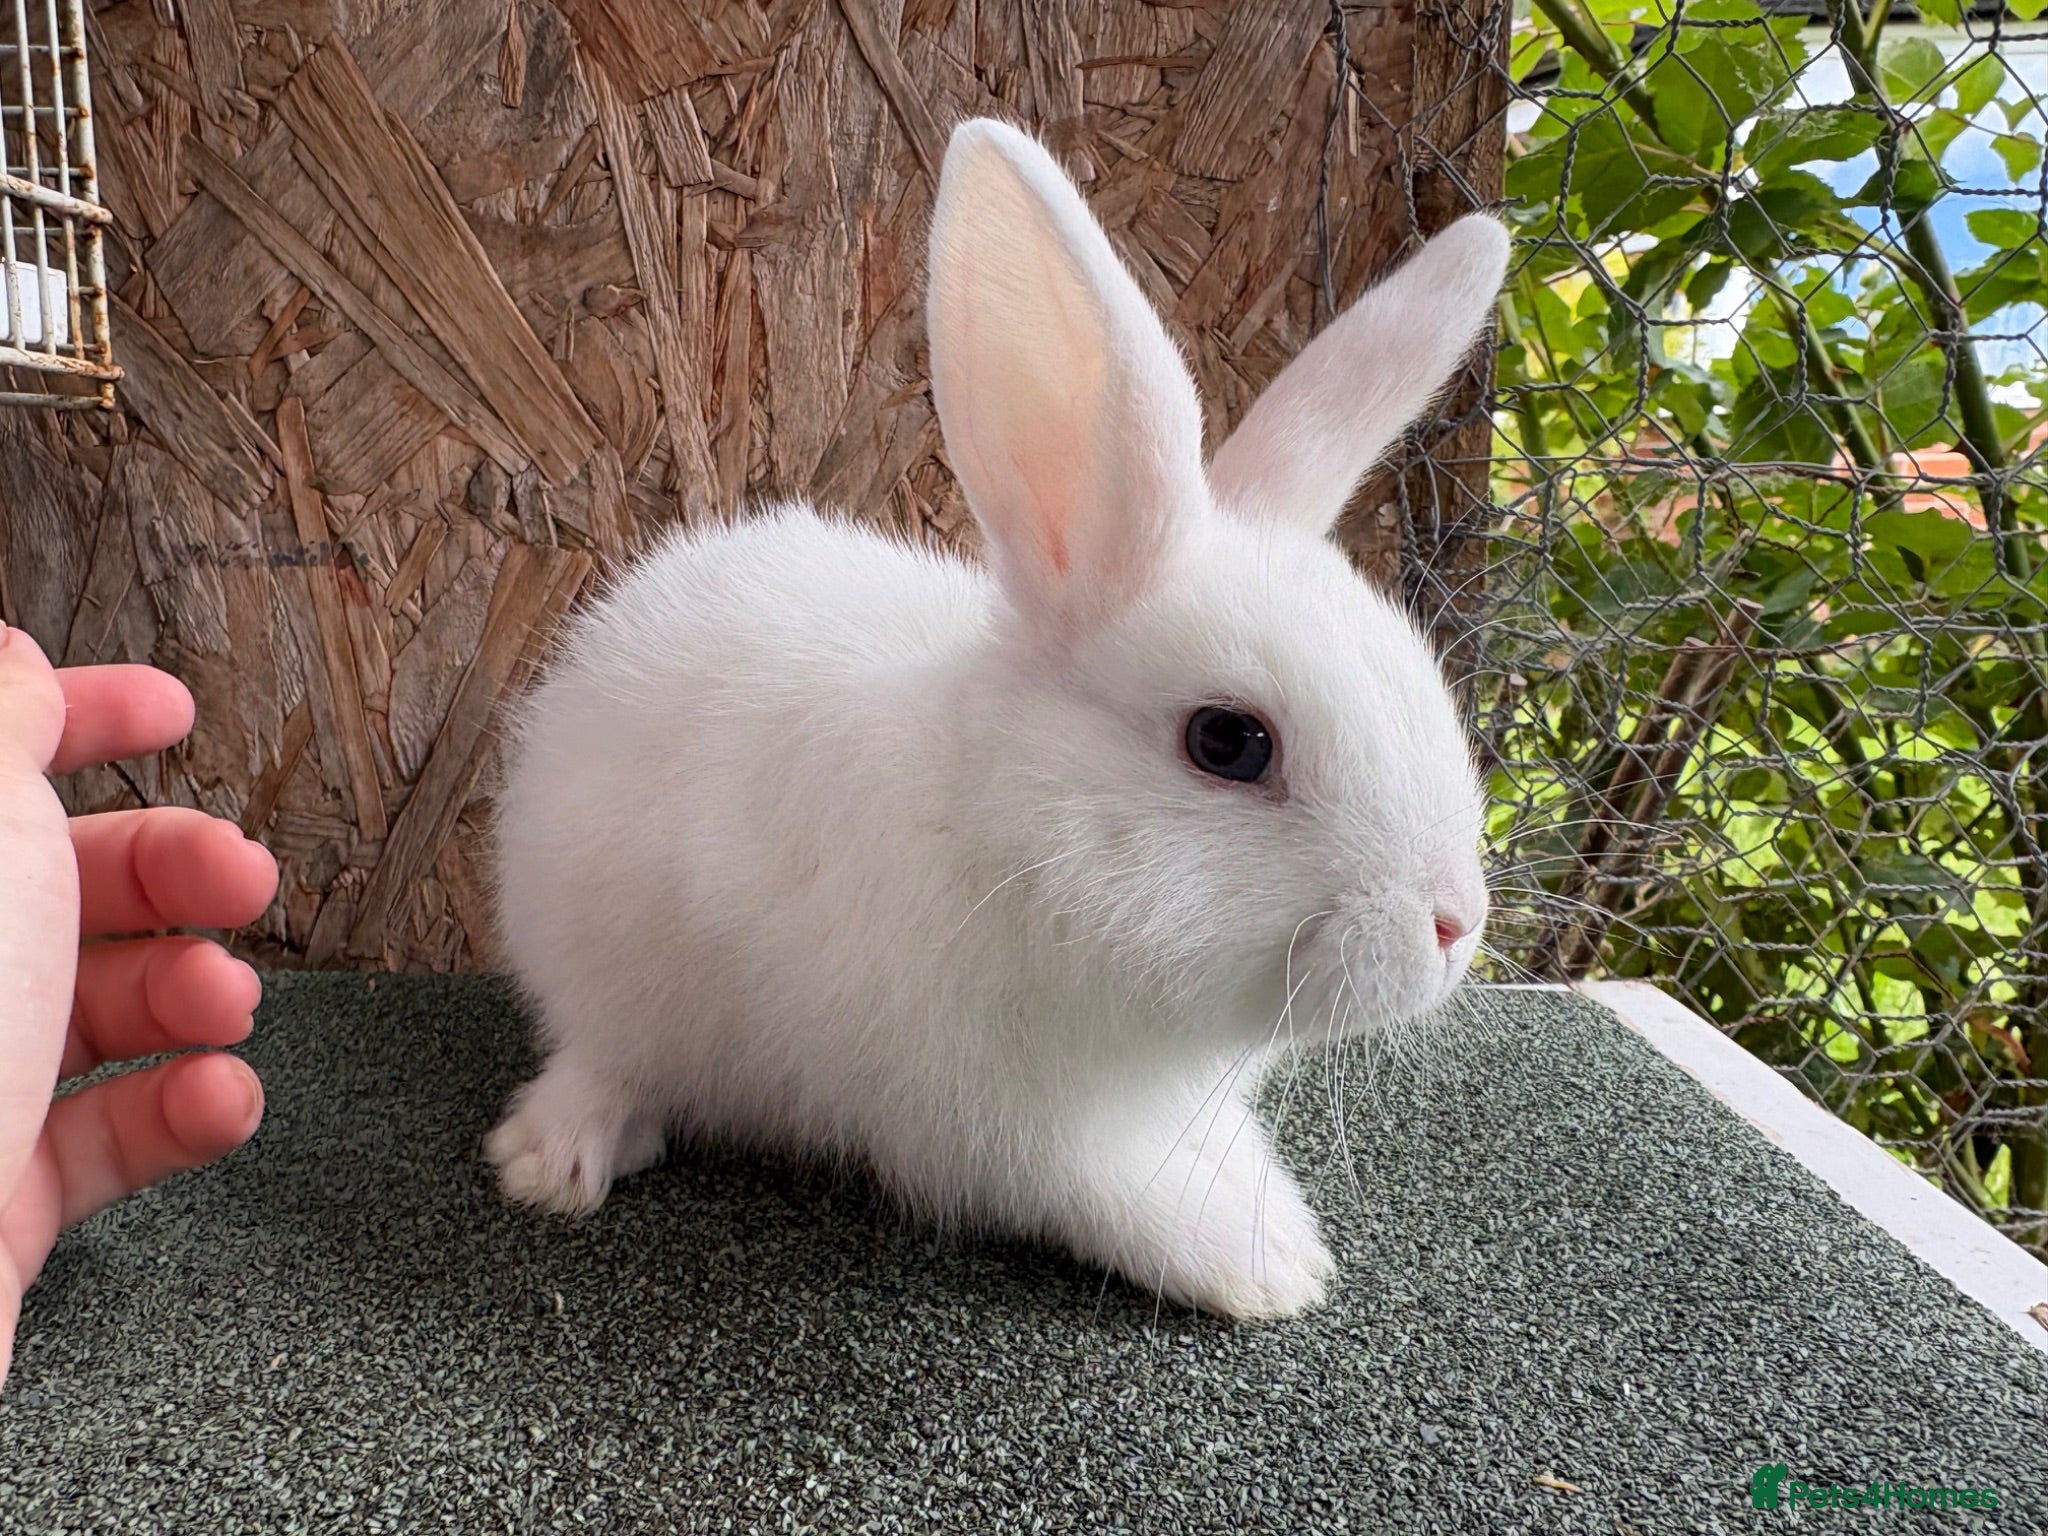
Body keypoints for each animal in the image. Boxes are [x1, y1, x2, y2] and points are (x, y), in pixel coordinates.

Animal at [484, 117, 1509, 1320]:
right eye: (1229, 742)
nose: (1454, 925)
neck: (1004, 826)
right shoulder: (995, 1126)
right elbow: (1104, 1191)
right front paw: (1262, 1264)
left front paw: (1273, 1216)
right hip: (595, 961)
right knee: (597, 1056)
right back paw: (557, 1161)